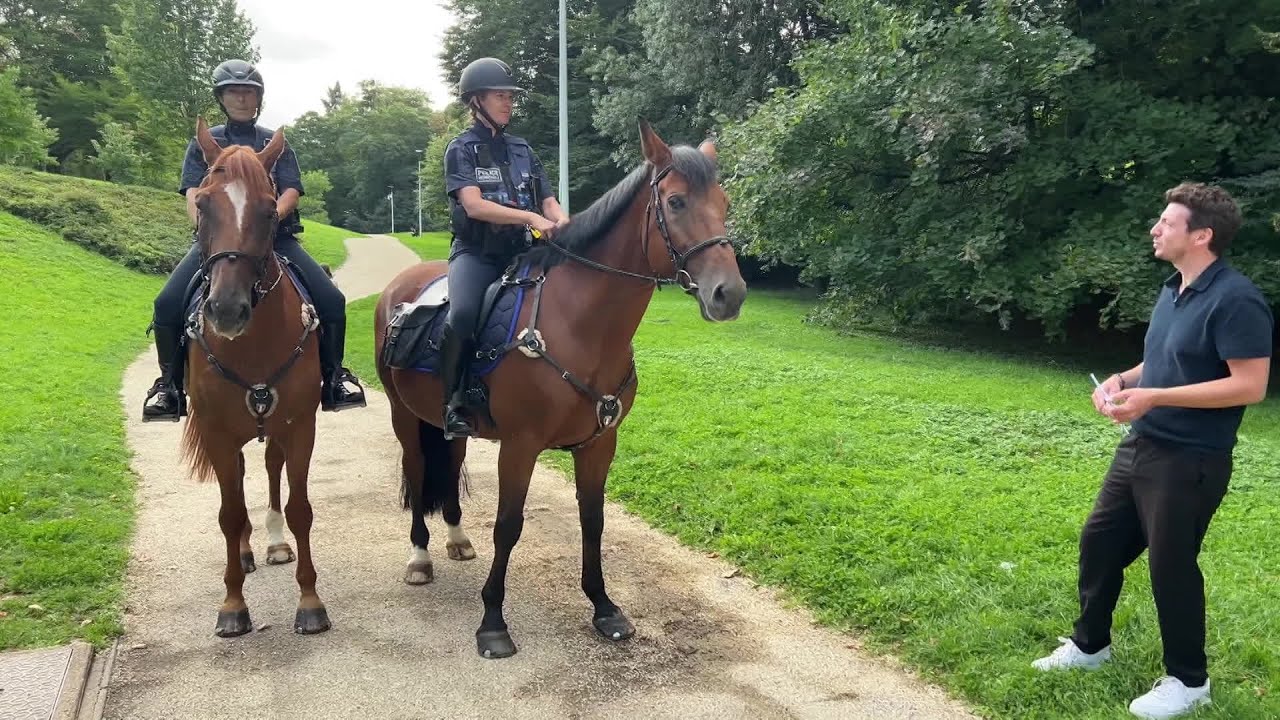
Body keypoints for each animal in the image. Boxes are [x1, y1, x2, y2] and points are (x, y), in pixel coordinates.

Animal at [178, 117, 330, 638]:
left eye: (269, 210)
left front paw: (310, 601)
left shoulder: (300, 426)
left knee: (268, 469)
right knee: (241, 484)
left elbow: (301, 508)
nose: (226, 309)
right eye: (203, 204)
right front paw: (232, 605)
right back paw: (244, 554)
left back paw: (274, 543)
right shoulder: (217, 432)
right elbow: (229, 514)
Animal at [373, 119, 748, 658]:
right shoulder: (520, 445)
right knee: (419, 470)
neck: (580, 326)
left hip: (453, 426)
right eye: (675, 202)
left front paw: (604, 607)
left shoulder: (599, 443)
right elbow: (508, 526)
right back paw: (420, 557)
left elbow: (593, 521)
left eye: (724, 201)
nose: (729, 294)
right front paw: (492, 622)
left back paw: (456, 538)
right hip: (404, 417)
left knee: (451, 462)